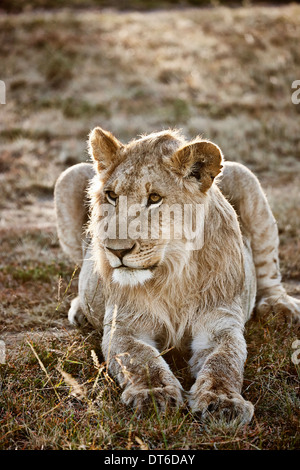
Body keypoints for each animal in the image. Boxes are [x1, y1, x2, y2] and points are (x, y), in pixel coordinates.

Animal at [54, 126, 300, 424]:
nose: (115, 250)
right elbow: (141, 359)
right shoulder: (124, 325)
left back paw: (280, 308)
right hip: (69, 177)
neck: (172, 275)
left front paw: (223, 403)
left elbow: (224, 361)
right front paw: (153, 395)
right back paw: (80, 311)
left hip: (247, 179)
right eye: (111, 195)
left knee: (270, 272)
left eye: (154, 199)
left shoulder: (220, 323)